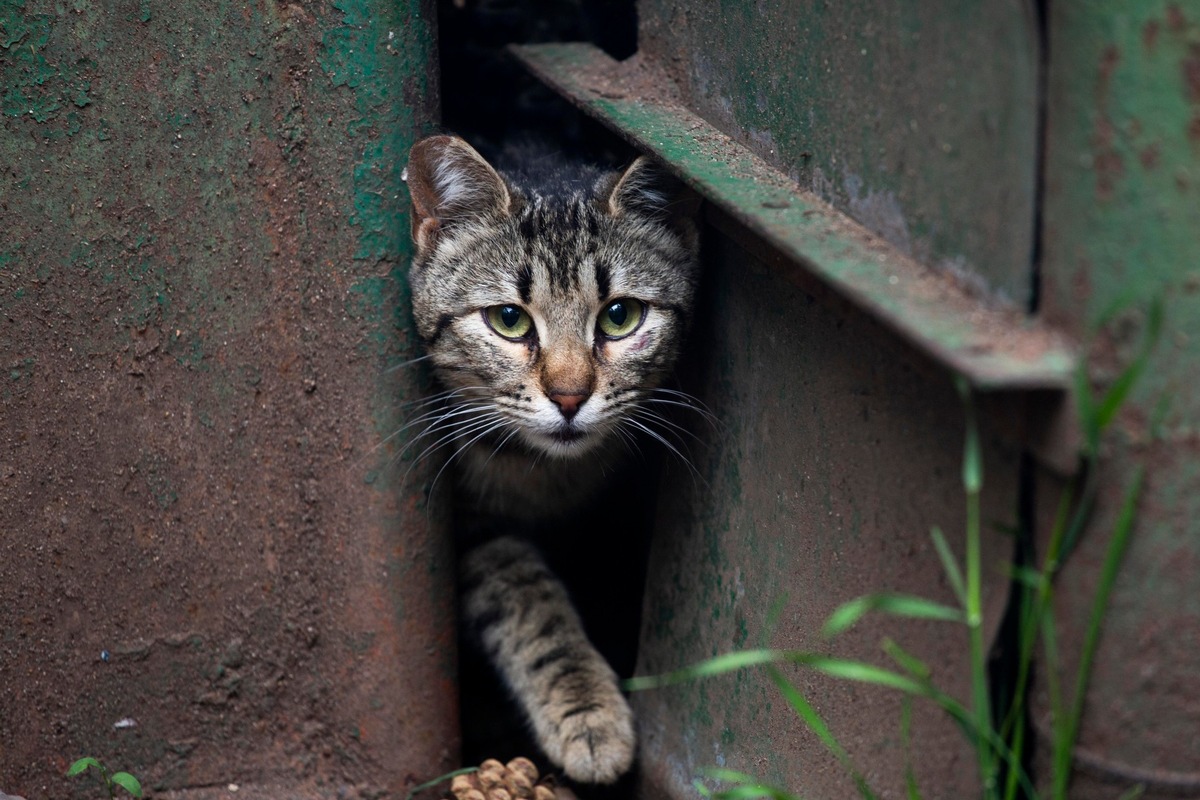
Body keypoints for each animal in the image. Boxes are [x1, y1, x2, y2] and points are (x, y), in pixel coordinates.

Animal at [403, 136, 700, 782]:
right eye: (509, 320)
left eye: (620, 315)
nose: (569, 396)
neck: (549, 476)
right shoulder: (475, 529)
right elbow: (529, 602)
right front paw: (586, 708)